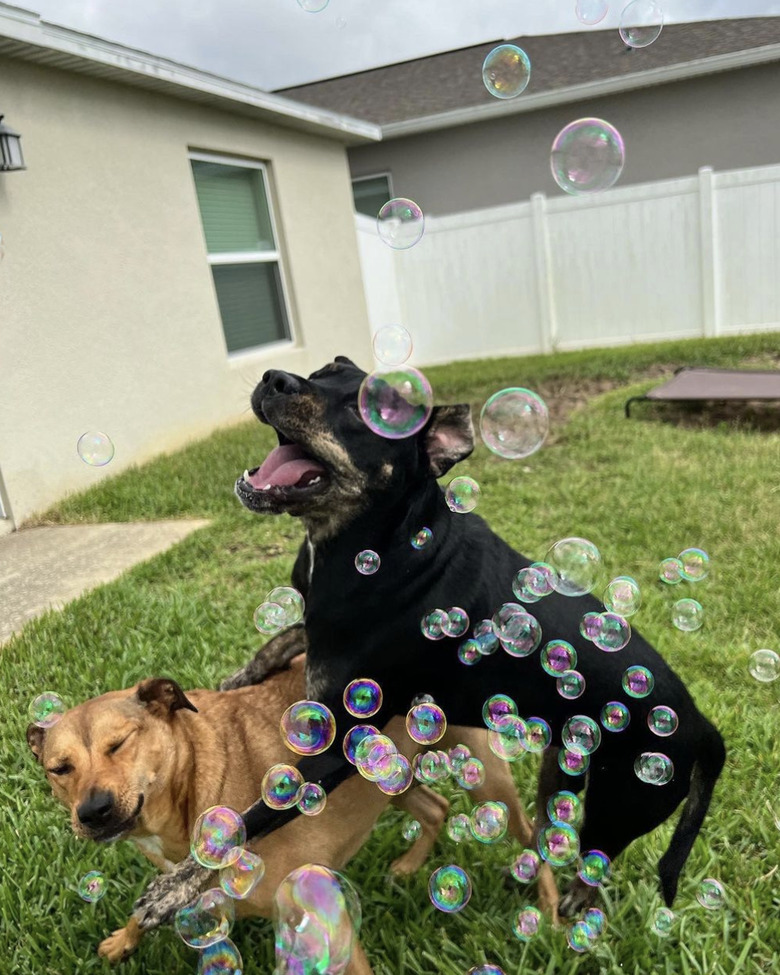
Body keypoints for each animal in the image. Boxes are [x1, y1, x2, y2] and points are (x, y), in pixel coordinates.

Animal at [27, 656, 556, 968]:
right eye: (59, 768)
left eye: (119, 743)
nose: (92, 810)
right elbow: (153, 902)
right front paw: (126, 936)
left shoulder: (322, 911)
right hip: (385, 774)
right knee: (436, 806)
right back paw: (411, 866)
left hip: (486, 777)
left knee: (532, 833)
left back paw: (549, 908)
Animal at [134, 356, 724, 932]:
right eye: (324, 370)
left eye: (368, 412)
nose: (274, 378)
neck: (376, 542)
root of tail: (699, 723)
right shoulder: (320, 626)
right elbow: (284, 635)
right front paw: (237, 676)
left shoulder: (339, 746)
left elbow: (254, 815)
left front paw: (176, 887)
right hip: (562, 768)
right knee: (548, 825)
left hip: (622, 802)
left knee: (597, 858)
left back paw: (577, 902)